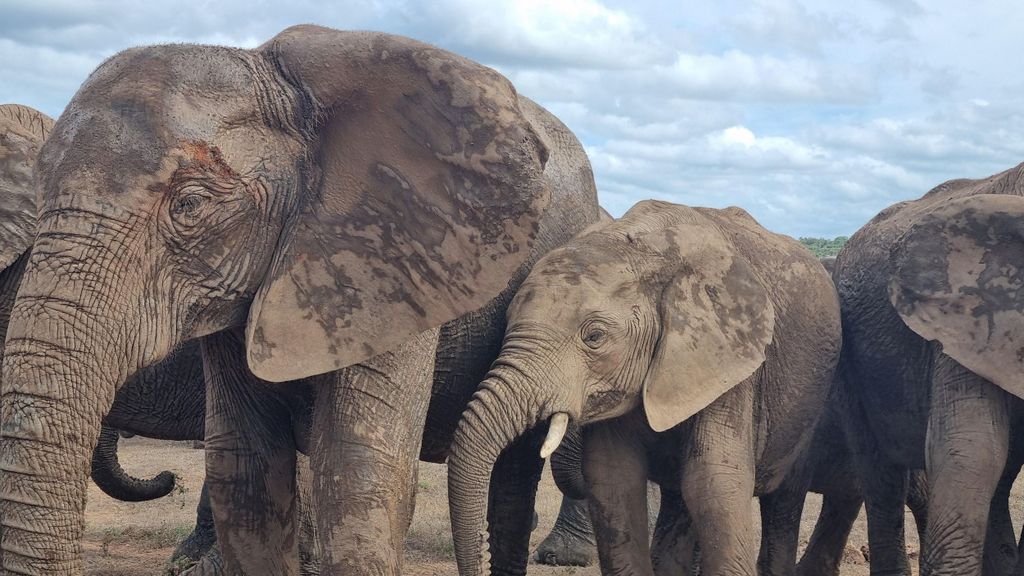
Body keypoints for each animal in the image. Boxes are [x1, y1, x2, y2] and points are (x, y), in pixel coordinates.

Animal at [0, 25, 600, 576]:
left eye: (190, 204)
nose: (166, 479)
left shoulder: (394, 258)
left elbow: (358, 474)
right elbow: (245, 471)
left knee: (515, 479)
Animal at [447, 199, 843, 576]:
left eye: (594, 337)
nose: (481, 561)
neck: (647, 247)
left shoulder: (733, 365)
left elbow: (714, 484)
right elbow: (613, 479)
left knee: (783, 499)